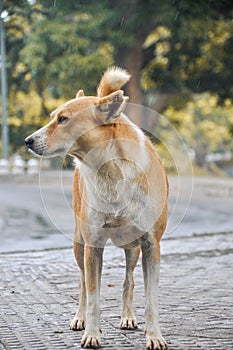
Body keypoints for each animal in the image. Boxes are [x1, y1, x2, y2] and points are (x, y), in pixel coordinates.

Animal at [25, 67, 167, 348]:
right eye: (52, 117)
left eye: (63, 119)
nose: (28, 140)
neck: (109, 169)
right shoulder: (93, 245)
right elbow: (92, 296)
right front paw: (91, 333)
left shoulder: (150, 244)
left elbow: (151, 299)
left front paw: (154, 336)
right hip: (79, 243)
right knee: (82, 283)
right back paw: (80, 318)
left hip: (132, 249)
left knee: (128, 280)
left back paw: (127, 316)